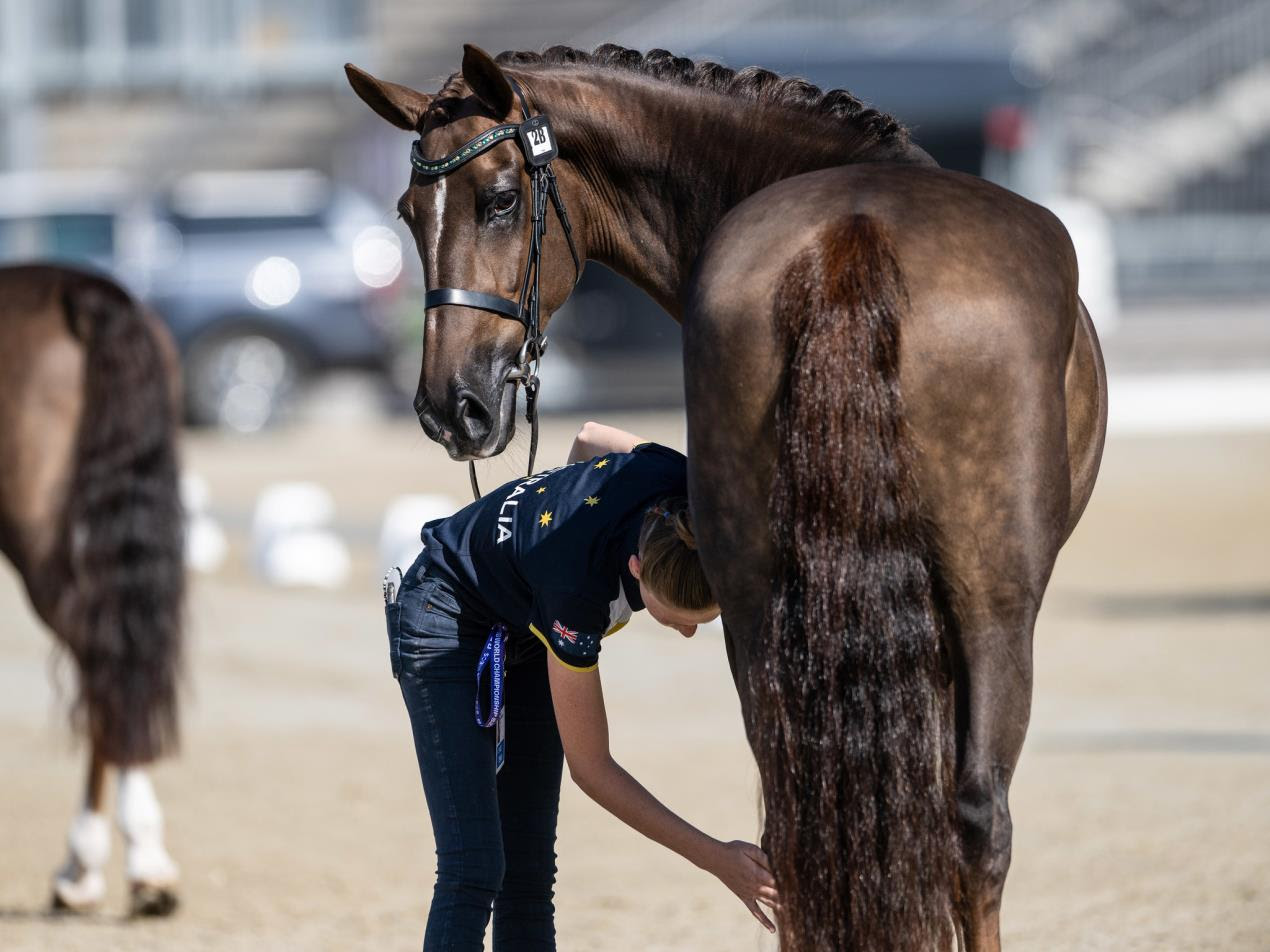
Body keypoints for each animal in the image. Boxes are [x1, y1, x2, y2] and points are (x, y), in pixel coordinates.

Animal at [347, 44, 1102, 952]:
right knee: (976, 822)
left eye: (498, 200)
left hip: (756, 600)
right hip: (993, 605)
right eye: (408, 212)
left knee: (797, 823)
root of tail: (853, 238)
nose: (448, 406)